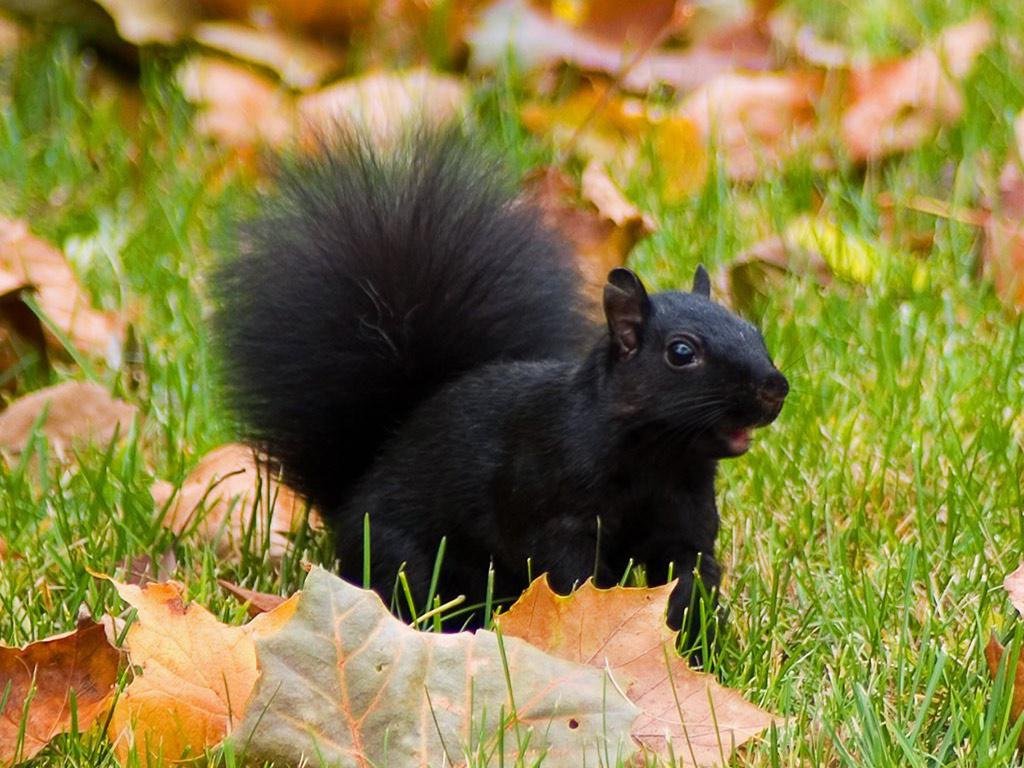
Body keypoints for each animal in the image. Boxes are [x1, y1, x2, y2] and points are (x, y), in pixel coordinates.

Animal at [211, 124, 786, 630]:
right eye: (681, 352)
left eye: (751, 328)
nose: (774, 389)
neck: (658, 460)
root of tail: (357, 493)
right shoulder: (557, 511)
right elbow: (573, 580)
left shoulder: (685, 522)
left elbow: (689, 578)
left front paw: (696, 646)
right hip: (407, 557)